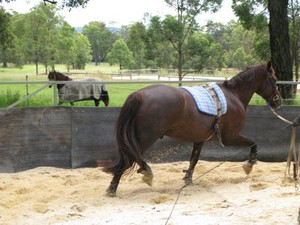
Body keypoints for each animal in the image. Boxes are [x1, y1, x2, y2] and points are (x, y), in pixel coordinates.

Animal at [102, 60, 282, 196]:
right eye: (274, 79)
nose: (278, 101)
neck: (233, 96)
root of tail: (138, 95)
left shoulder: (200, 140)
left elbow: (193, 160)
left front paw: (188, 180)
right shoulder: (230, 137)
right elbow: (253, 143)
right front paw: (249, 165)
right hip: (146, 138)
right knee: (131, 156)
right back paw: (129, 181)